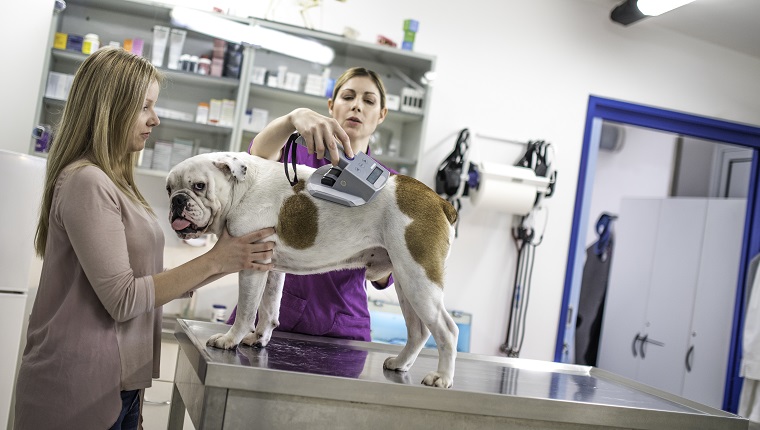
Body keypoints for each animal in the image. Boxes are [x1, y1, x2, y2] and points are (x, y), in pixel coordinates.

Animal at [167, 153, 460, 388]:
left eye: (199, 186)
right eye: (169, 188)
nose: (177, 201)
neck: (242, 189)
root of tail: (440, 202)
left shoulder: (252, 266)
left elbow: (247, 311)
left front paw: (231, 340)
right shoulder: (270, 268)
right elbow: (268, 308)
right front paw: (260, 338)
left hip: (418, 278)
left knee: (447, 330)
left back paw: (442, 377)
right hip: (406, 281)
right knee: (419, 331)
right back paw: (400, 363)